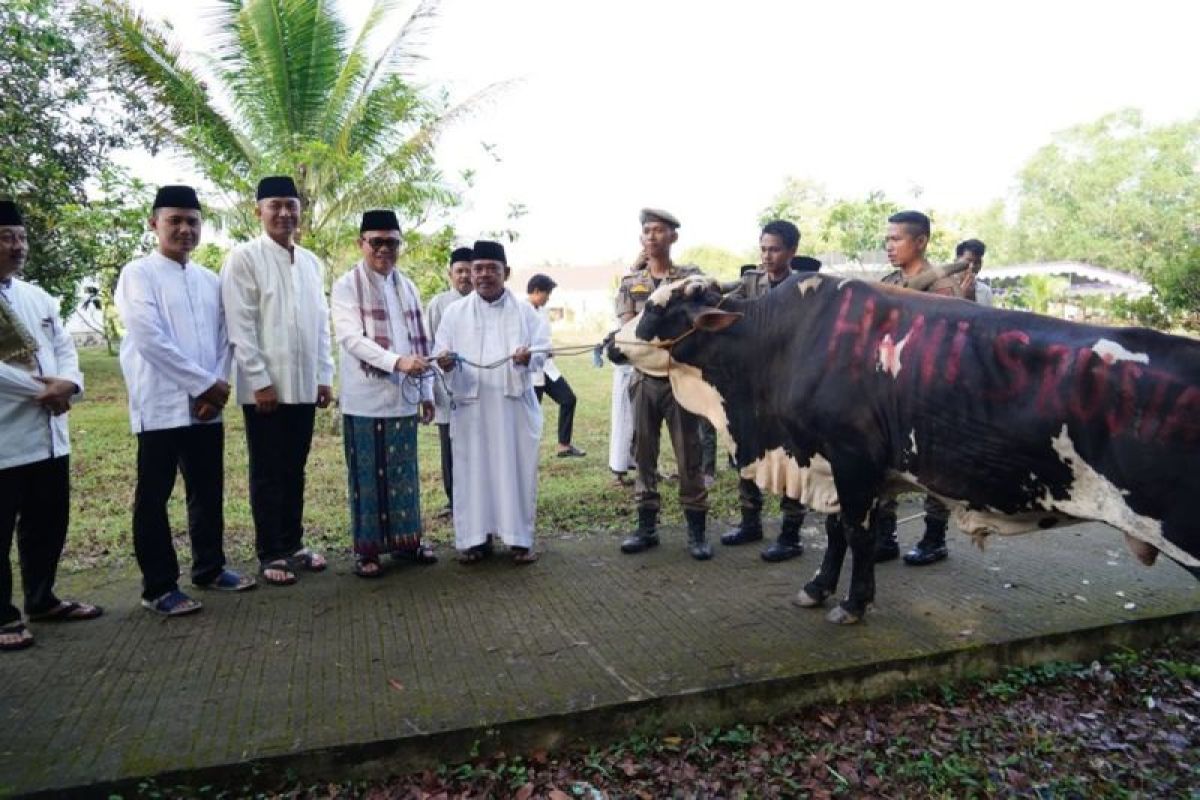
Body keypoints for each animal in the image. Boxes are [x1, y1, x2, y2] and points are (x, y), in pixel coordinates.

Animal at [609, 272, 1200, 623]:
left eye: (657, 309)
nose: (611, 343)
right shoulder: (834, 468)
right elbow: (837, 533)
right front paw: (819, 589)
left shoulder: (852, 462)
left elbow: (857, 534)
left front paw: (852, 603)